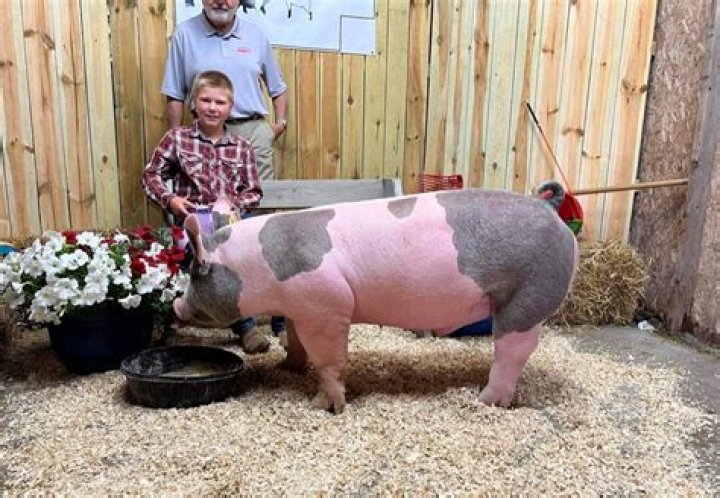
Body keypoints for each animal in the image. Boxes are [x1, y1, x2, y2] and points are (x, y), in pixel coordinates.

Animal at [174, 188, 578, 413]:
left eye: (194, 270)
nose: (176, 305)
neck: (254, 265)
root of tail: (549, 209)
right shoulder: (297, 308)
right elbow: (296, 342)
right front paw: (288, 367)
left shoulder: (325, 304)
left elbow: (328, 360)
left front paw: (323, 406)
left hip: (526, 296)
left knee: (513, 351)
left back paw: (485, 400)